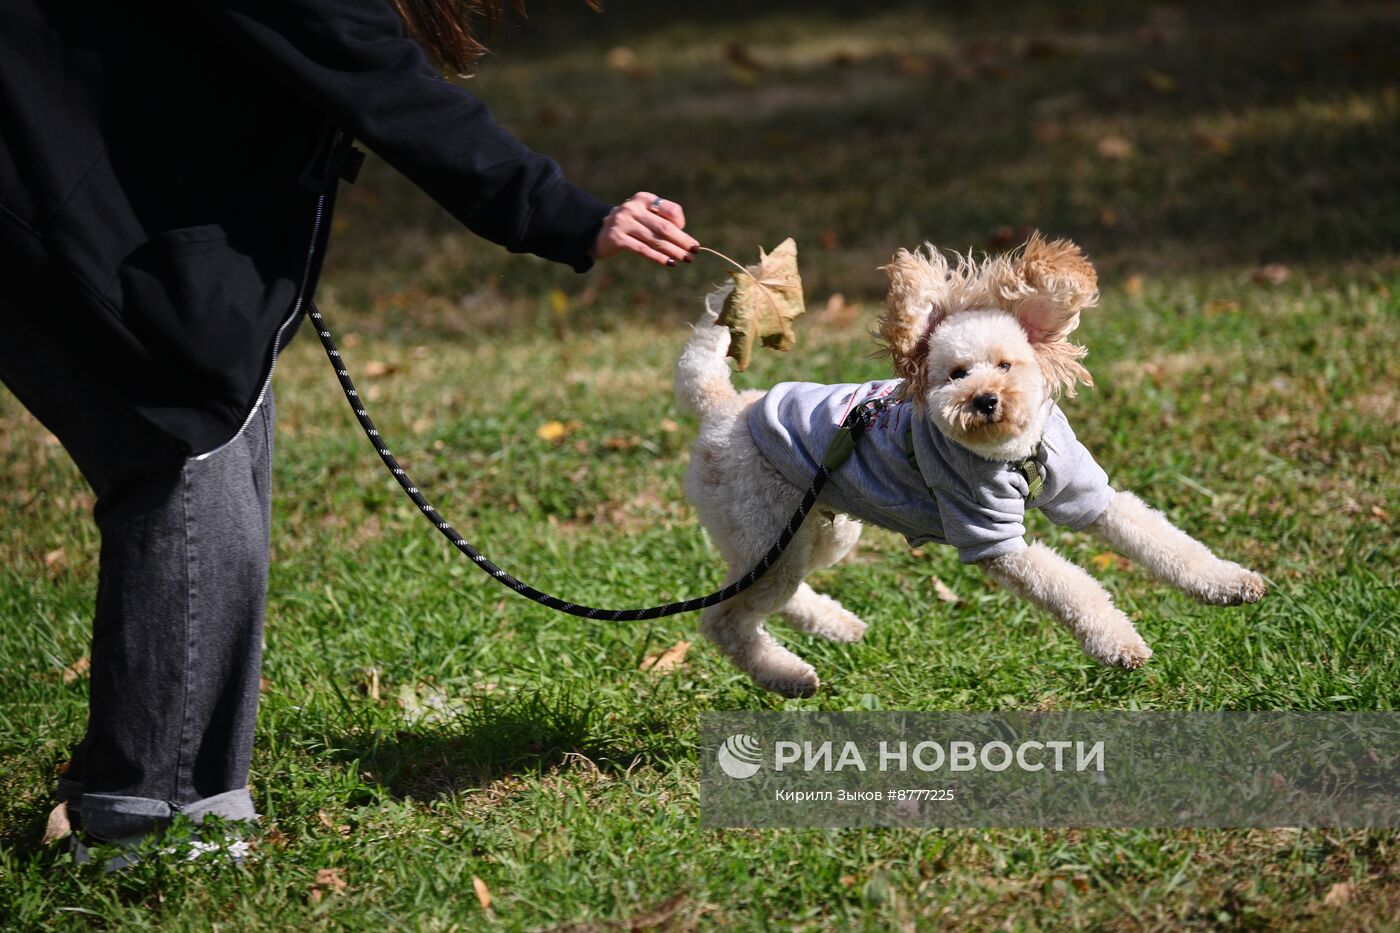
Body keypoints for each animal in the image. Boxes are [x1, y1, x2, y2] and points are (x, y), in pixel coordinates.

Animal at [677, 232, 1271, 697]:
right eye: (955, 373)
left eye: (1006, 365)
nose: (984, 400)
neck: (1016, 455)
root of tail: (722, 405)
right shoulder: (989, 534)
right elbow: (1069, 586)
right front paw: (1120, 645)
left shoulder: (1087, 492)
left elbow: (1164, 540)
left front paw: (1231, 584)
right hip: (766, 529)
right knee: (724, 618)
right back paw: (791, 677)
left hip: (817, 530)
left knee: (777, 594)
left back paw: (841, 628)